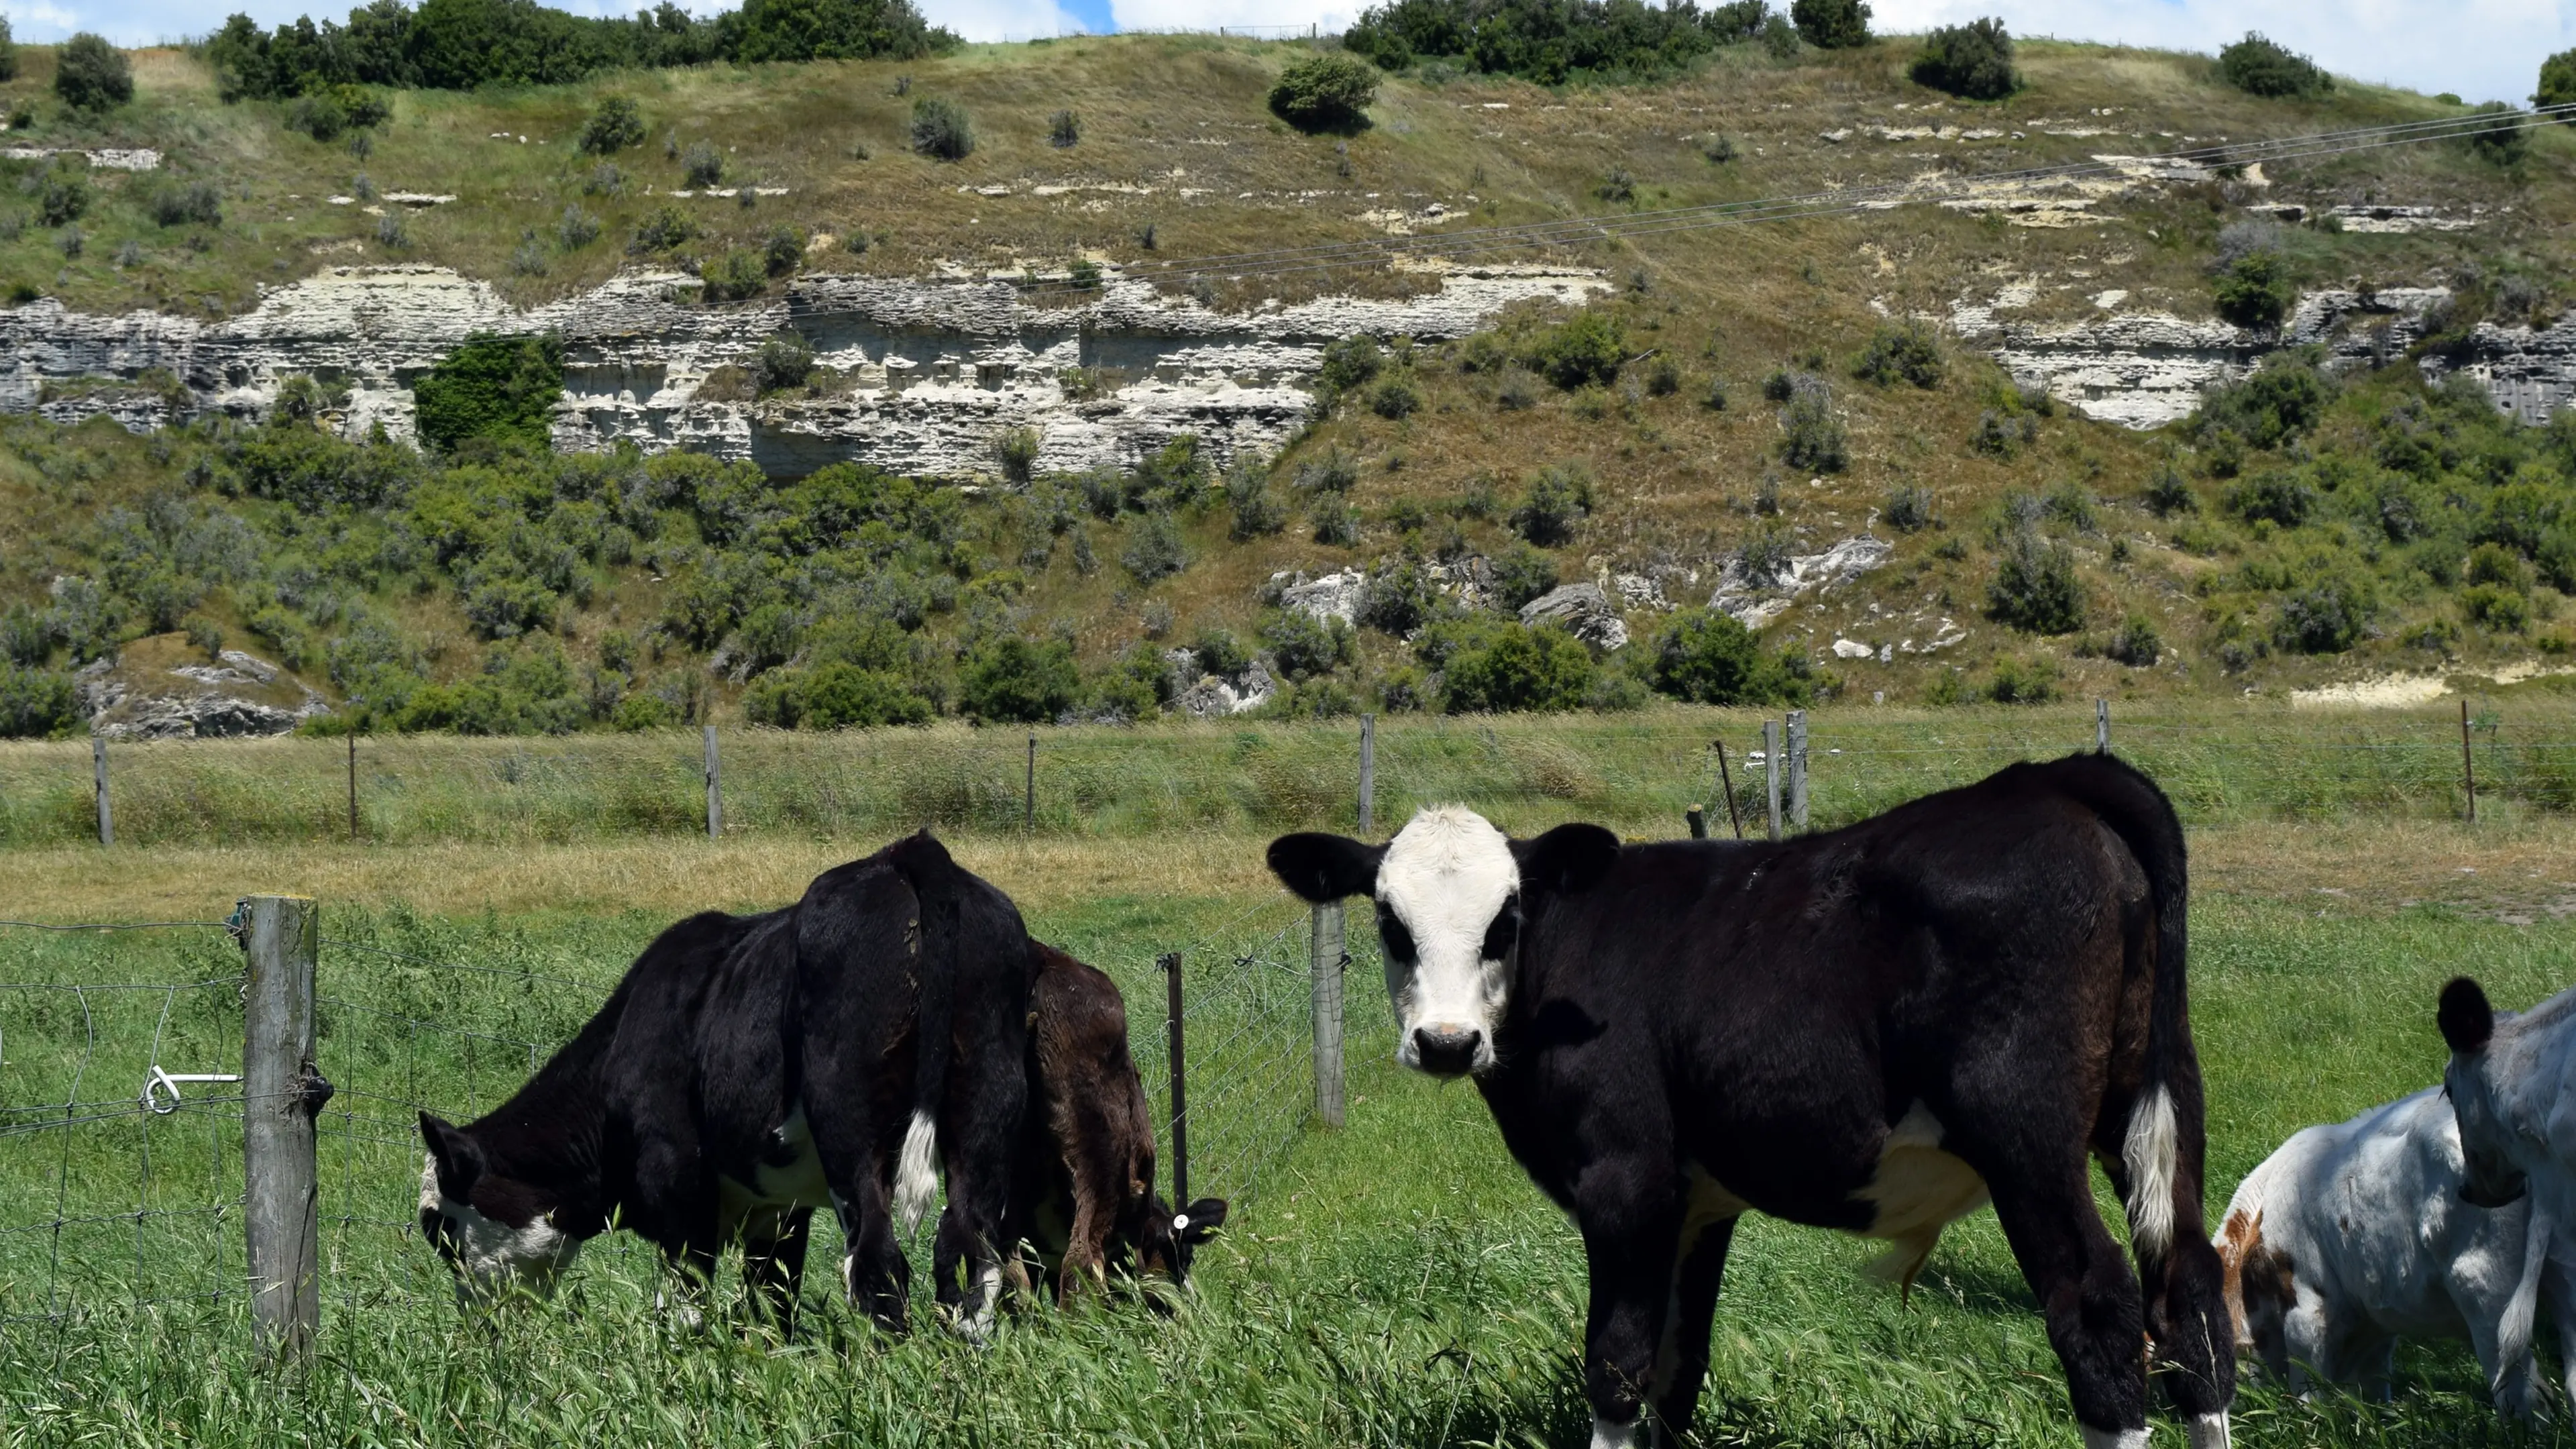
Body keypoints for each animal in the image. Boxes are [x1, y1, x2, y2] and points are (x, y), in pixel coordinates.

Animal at [414, 831, 1036, 1338]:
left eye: (438, 1230)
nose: (477, 1324)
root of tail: (907, 855)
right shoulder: (778, 1210)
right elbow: (774, 1298)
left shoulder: (675, 1179)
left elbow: (684, 1306)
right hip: (987, 1107)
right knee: (968, 1256)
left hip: (850, 1131)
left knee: (878, 1266)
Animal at [1267, 754, 2235, 1449]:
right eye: (1389, 922)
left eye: (1505, 918)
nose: (1446, 1042)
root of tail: (2054, 779)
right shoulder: (1698, 1202)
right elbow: (1678, 1370)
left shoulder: (1624, 1180)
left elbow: (1616, 1366)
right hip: (2157, 1108)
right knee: (2191, 1301)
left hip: (2024, 1135)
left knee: (2099, 1311)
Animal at [2214, 1087, 2569, 1415]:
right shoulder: (2373, 1325)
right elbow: (2372, 1397)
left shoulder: (2307, 1311)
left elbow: (2310, 1393)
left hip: (2487, 1288)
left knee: (2523, 1393)